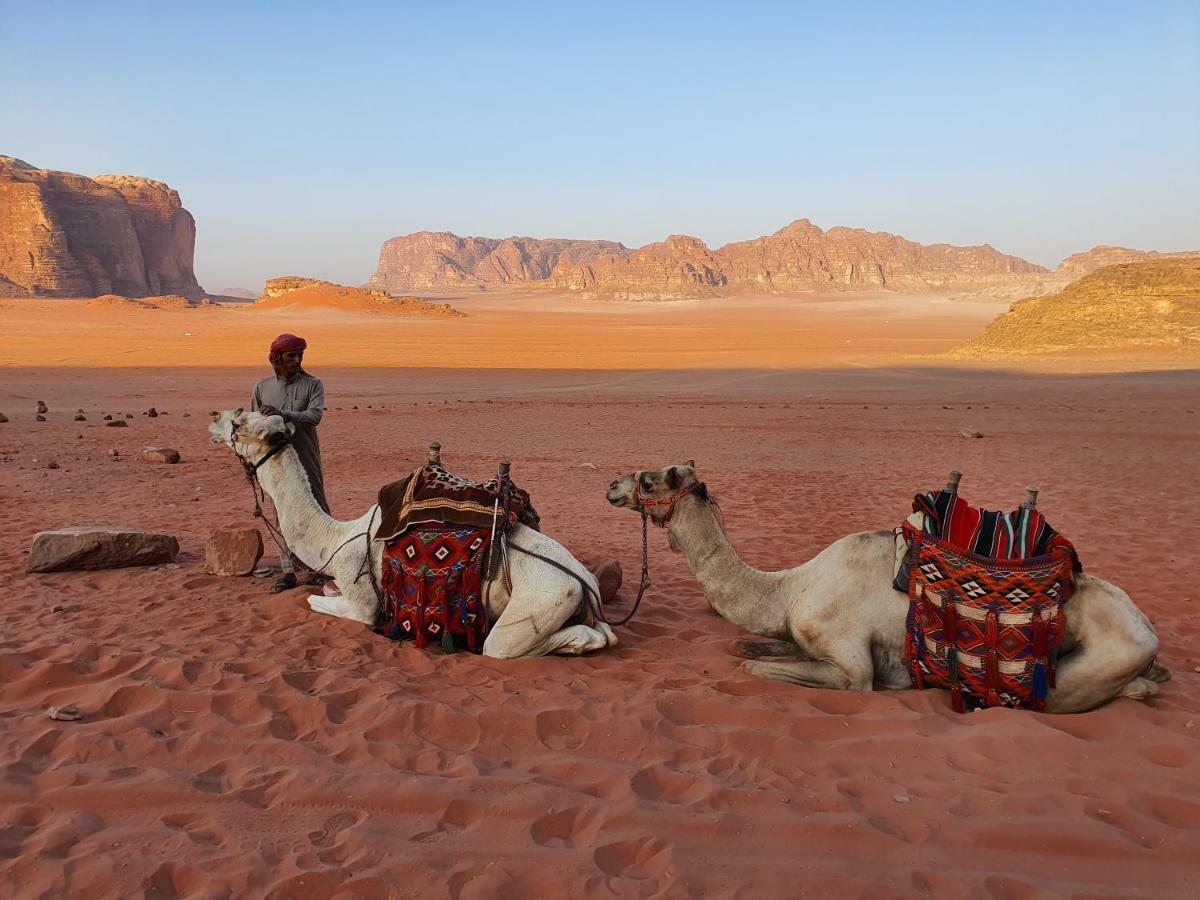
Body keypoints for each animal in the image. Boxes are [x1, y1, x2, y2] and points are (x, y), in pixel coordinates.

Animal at [208, 412, 619, 657]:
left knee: (515, 644)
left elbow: (318, 601)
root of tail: (583, 581)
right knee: (604, 632)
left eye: (240, 422)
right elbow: (324, 589)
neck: (337, 537)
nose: (213, 419)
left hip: (539, 603)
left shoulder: (362, 598)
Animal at [604, 460, 1166, 715]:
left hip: (1074, 676)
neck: (790, 589)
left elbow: (755, 667)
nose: (611, 485)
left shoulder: (851, 663)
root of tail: (1149, 634)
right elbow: (748, 648)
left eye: (649, 479)